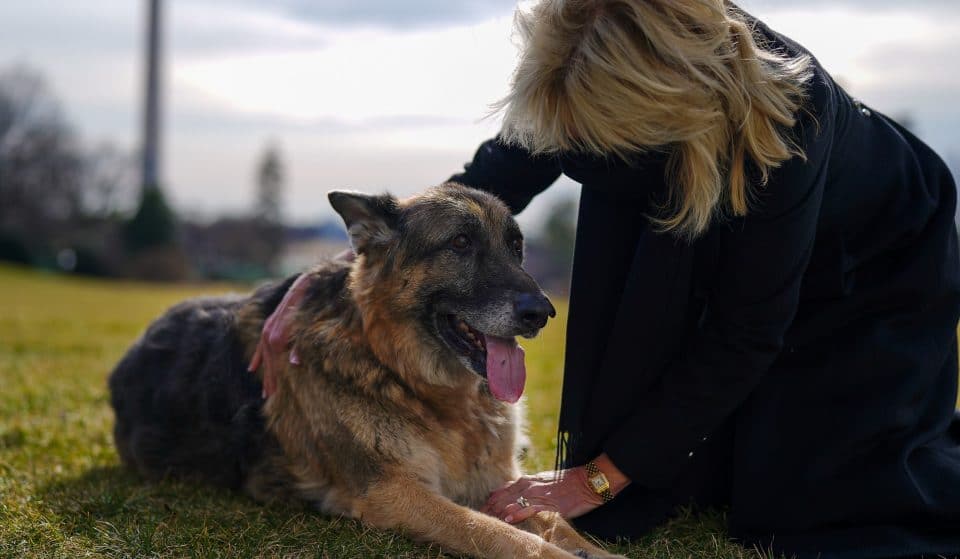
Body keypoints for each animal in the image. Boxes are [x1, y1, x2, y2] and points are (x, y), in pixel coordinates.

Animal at [109, 185, 624, 559]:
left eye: (516, 248)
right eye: (460, 243)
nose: (543, 313)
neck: (405, 375)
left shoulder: (501, 482)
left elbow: (556, 522)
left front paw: (595, 551)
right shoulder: (392, 492)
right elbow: (499, 534)